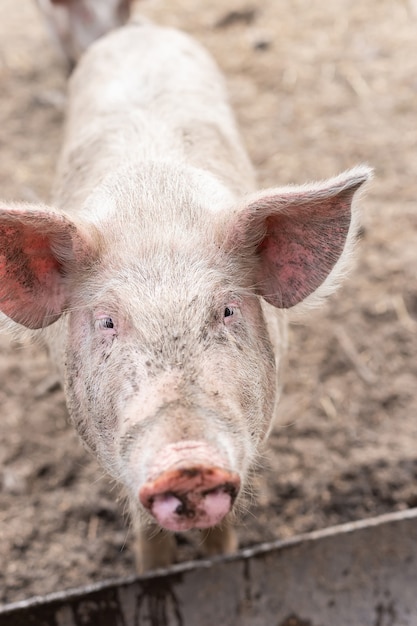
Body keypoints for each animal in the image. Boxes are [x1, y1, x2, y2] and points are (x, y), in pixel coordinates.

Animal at [0, 0, 370, 572]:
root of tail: (136, 29)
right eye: (107, 321)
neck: (155, 212)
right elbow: (148, 537)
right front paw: (151, 573)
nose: (188, 463)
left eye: (228, 311)